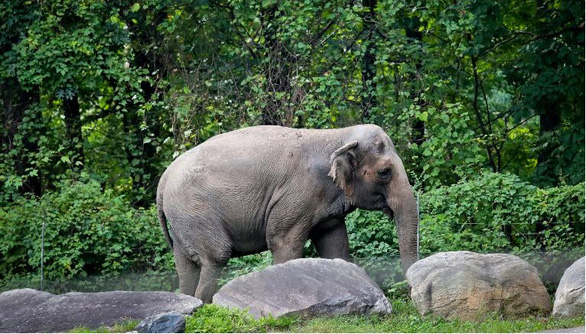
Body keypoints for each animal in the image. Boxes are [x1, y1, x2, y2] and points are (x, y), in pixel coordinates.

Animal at [157, 124, 418, 302]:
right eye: (384, 173)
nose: (409, 293)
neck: (337, 135)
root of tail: (164, 177)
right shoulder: (296, 196)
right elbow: (284, 243)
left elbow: (335, 245)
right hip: (195, 211)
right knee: (216, 256)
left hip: (182, 219)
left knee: (185, 267)